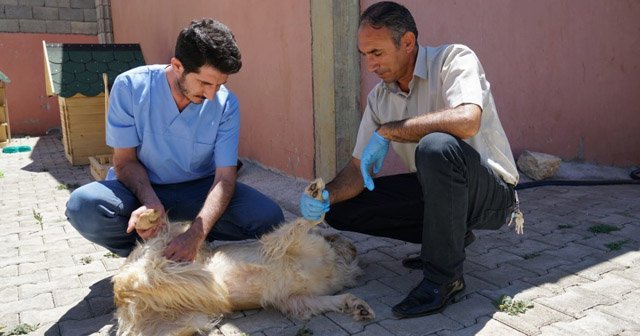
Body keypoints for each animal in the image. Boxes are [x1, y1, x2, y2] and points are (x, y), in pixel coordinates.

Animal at [112, 180, 372, 336]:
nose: (354, 248)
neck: (333, 263)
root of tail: (122, 290)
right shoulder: (280, 244)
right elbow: (306, 222)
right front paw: (316, 197)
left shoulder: (297, 300)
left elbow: (336, 299)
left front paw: (358, 306)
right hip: (178, 238)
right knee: (161, 229)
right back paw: (148, 216)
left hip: (188, 320)